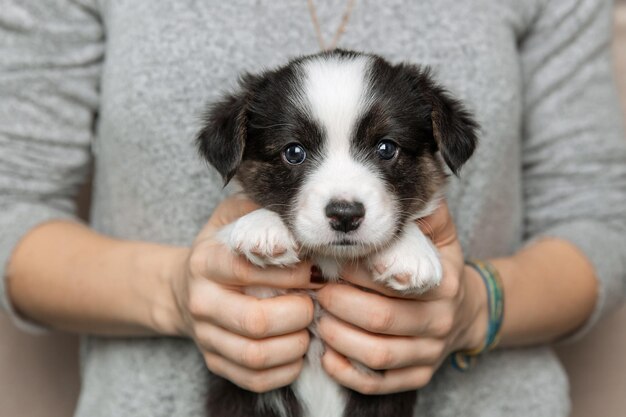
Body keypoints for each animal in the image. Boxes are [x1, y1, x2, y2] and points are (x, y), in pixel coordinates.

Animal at [197, 50, 476, 416]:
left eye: (386, 148)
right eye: (294, 152)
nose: (345, 215)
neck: (330, 261)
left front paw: (410, 251)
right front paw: (265, 226)